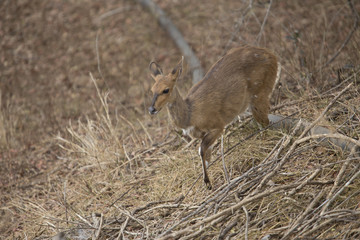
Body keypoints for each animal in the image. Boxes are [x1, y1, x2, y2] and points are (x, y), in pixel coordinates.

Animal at [148, 45, 280, 189]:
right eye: (152, 90)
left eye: (166, 90)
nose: (151, 109)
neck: (191, 115)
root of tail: (272, 56)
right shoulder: (203, 134)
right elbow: (206, 155)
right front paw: (207, 182)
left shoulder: (218, 126)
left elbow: (201, 150)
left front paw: (208, 183)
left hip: (259, 95)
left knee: (266, 123)